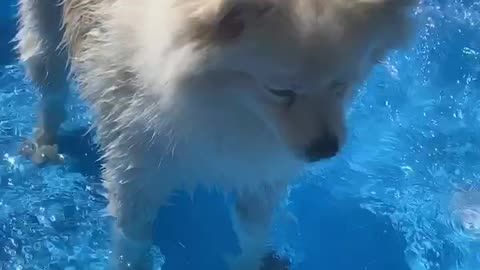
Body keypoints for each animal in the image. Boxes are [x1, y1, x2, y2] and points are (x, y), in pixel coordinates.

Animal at [15, 0, 418, 268]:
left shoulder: (260, 171)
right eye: (280, 91)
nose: (325, 149)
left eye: (342, 85)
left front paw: (254, 260)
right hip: (46, 34)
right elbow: (133, 242)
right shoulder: (135, 176)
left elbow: (253, 232)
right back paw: (45, 141)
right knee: (51, 84)